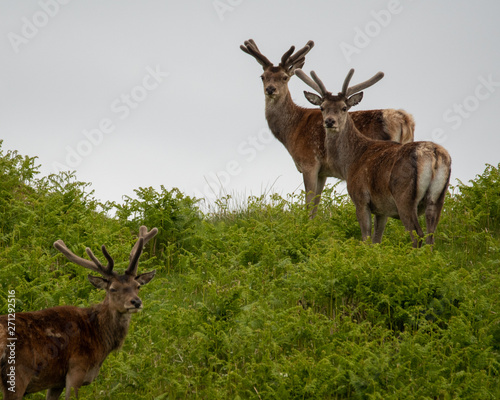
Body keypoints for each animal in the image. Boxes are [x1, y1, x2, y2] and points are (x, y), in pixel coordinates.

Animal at [0, 227, 158, 398]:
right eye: (113, 288)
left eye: (137, 286)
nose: (136, 302)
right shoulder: (77, 369)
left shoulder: (56, 382)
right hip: (17, 375)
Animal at [240, 39, 416, 217]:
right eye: (263, 76)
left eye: (284, 77)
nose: (270, 89)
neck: (292, 131)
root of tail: (404, 119)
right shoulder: (323, 172)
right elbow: (316, 204)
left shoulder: (309, 162)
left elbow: (308, 203)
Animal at [294, 69, 452, 247]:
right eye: (322, 107)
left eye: (344, 108)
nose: (329, 121)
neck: (349, 163)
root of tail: (434, 155)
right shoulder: (382, 209)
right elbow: (377, 240)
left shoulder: (361, 198)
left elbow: (366, 238)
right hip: (437, 198)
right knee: (431, 237)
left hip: (404, 197)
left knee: (417, 235)